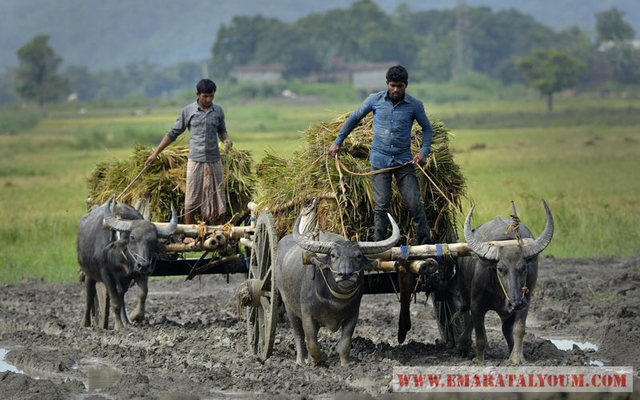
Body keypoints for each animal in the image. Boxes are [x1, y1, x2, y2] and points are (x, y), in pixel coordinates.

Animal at [78, 195, 178, 330]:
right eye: (132, 237)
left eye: (153, 240)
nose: (143, 265)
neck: (121, 257)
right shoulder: (106, 275)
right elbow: (114, 301)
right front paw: (118, 326)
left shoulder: (140, 273)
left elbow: (142, 294)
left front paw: (135, 316)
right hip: (89, 272)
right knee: (89, 294)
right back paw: (86, 323)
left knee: (121, 295)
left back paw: (126, 321)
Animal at [276, 212, 400, 366]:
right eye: (334, 255)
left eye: (358, 255)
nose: (345, 274)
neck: (335, 301)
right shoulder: (307, 315)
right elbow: (312, 343)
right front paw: (321, 359)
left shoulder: (353, 316)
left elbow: (344, 343)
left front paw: (345, 363)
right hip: (289, 306)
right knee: (298, 334)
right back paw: (300, 361)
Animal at [456, 199, 556, 362]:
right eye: (500, 269)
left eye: (523, 268)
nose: (515, 302)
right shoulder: (477, 304)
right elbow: (480, 336)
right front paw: (479, 361)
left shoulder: (525, 301)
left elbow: (519, 329)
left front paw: (517, 358)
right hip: (465, 295)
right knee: (468, 318)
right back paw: (463, 345)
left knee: (505, 328)